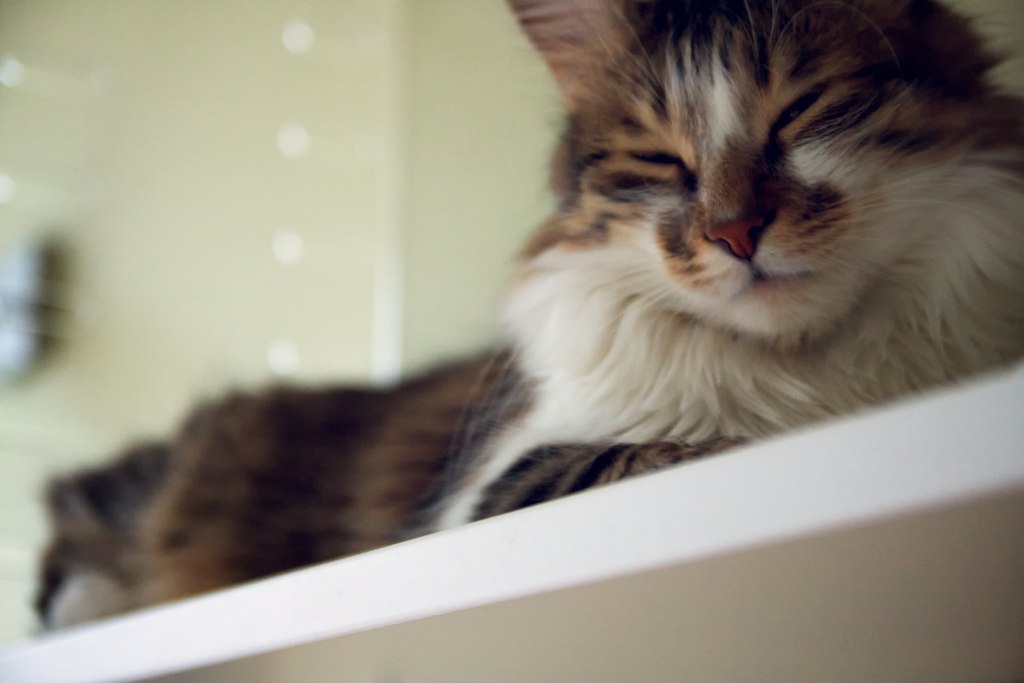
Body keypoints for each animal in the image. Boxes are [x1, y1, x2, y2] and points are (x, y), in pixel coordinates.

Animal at [34, 0, 1024, 630]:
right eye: (662, 161)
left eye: (801, 113)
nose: (735, 230)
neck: (808, 370)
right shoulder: (491, 487)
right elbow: (660, 445)